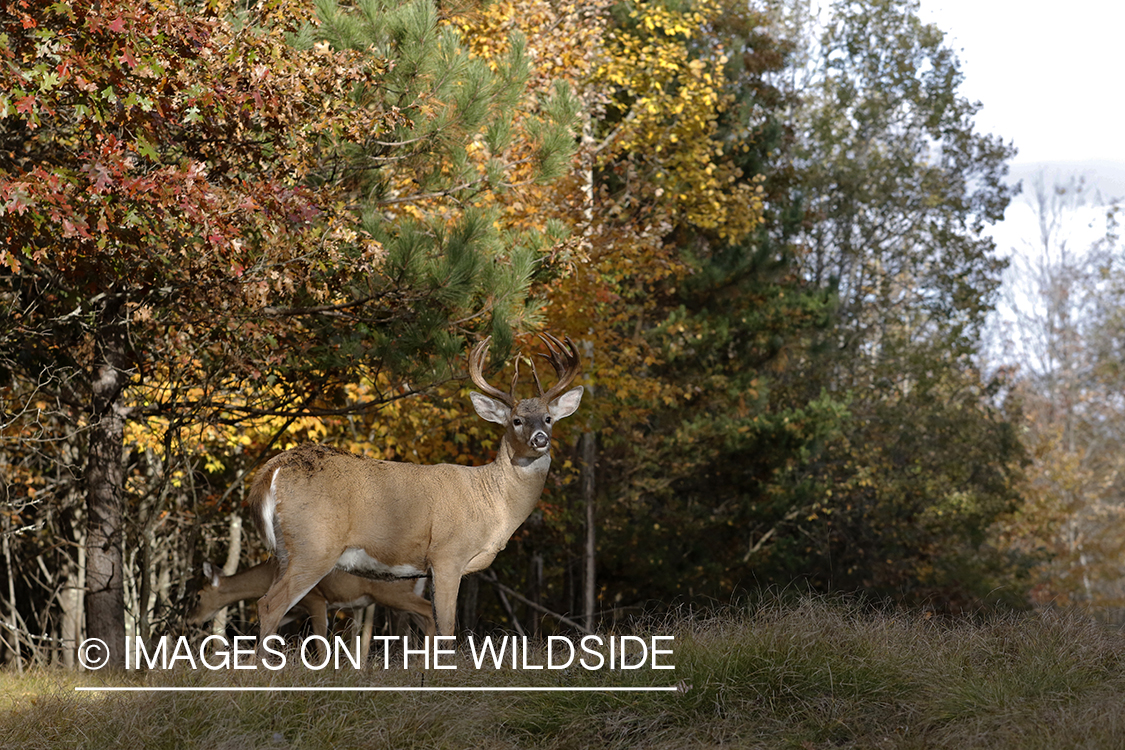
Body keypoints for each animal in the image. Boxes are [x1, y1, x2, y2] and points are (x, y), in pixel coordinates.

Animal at [250, 335, 585, 647]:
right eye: (516, 420)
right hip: (315, 545)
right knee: (269, 604)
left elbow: (434, 623)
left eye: (548, 418)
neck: (492, 501)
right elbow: (447, 626)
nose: (540, 438)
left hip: (286, 552)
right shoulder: (447, 555)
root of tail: (275, 468)